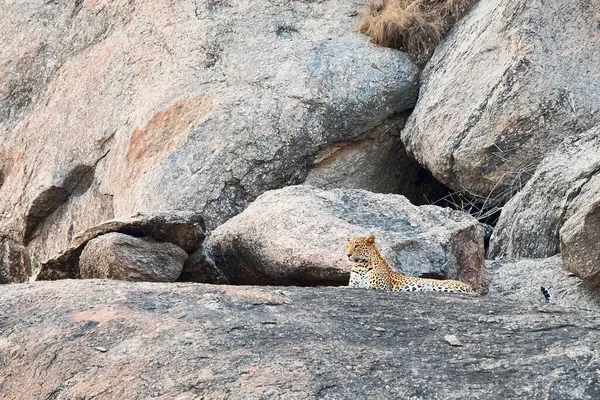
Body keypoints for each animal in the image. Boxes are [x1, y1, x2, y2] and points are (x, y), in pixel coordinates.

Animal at [344, 234, 476, 294]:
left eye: (357, 246)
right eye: (348, 246)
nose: (347, 254)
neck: (360, 266)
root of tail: (470, 287)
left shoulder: (379, 287)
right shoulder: (353, 285)